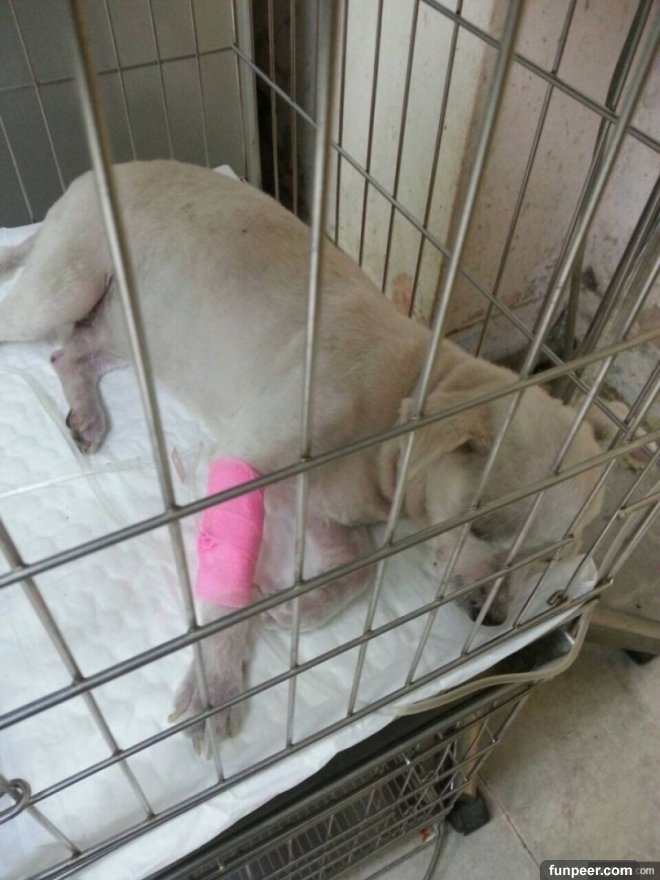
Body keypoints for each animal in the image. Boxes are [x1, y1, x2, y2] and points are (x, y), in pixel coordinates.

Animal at [0, 160, 610, 746]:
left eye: (551, 558)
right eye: (480, 527)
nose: (491, 617)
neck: (404, 396)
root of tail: (84, 179)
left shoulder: (322, 506)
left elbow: (359, 567)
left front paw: (294, 608)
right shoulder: (247, 463)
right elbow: (230, 590)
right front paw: (216, 682)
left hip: (131, 331)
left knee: (71, 351)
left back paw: (86, 413)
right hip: (66, 284)